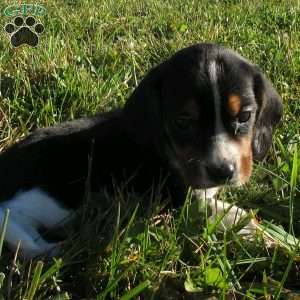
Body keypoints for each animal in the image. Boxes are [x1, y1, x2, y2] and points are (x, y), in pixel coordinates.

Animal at [0, 44, 282, 258]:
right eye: (183, 122)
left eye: (244, 116)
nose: (223, 172)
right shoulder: (177, 198)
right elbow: (225, 211)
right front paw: (263, 234)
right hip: (56, 199)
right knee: (9, 217)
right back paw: (49, 248)